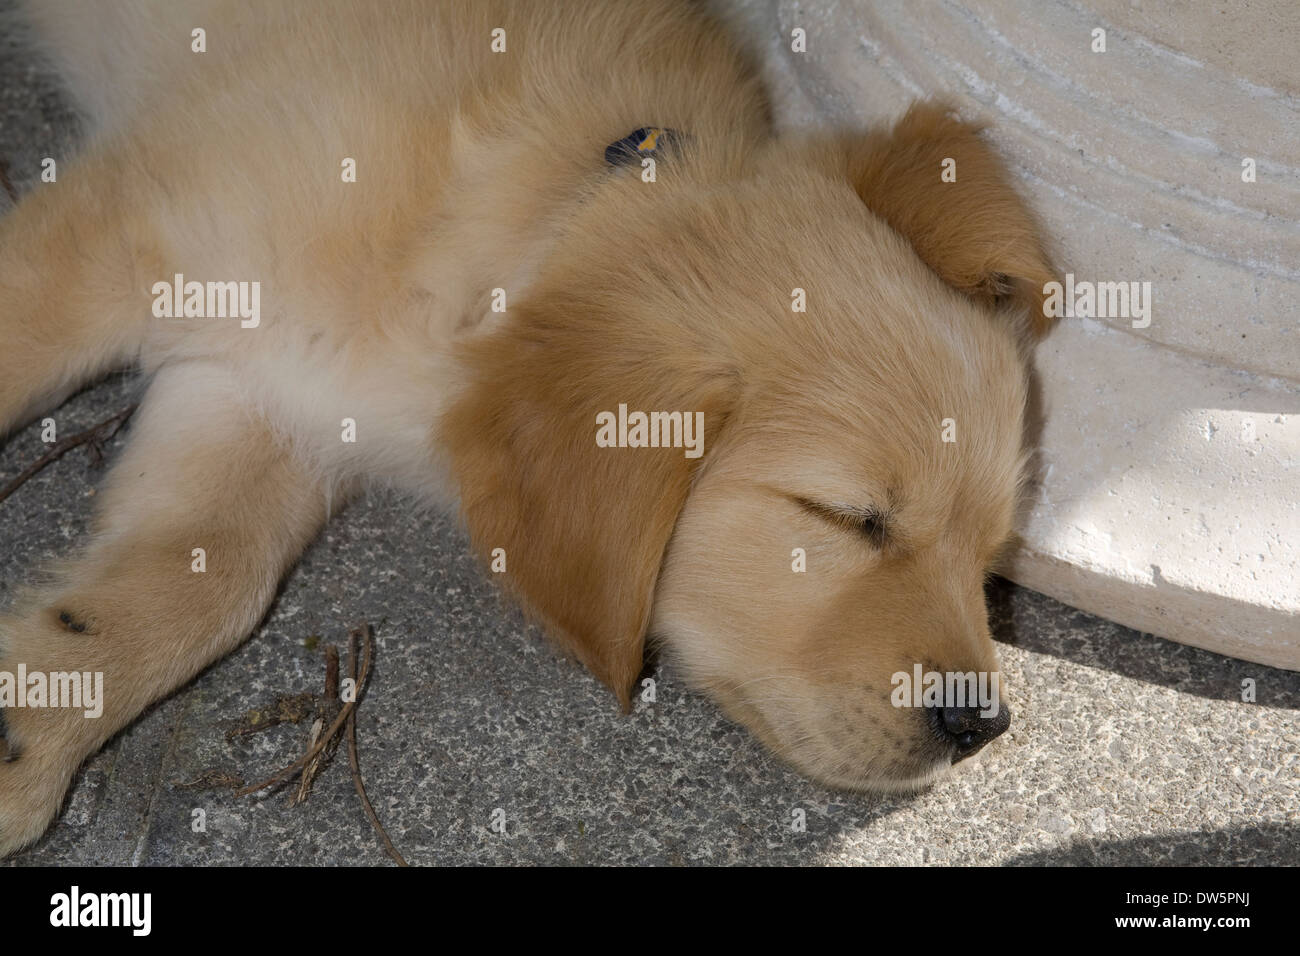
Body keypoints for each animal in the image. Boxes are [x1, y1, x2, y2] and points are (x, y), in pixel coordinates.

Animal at [0, 0, 1055, 853]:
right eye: (844, 518)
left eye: (993, 556)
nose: (983, 728)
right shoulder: (112, 240)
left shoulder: (262, 399)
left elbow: (204, 584)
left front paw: (29, 721)